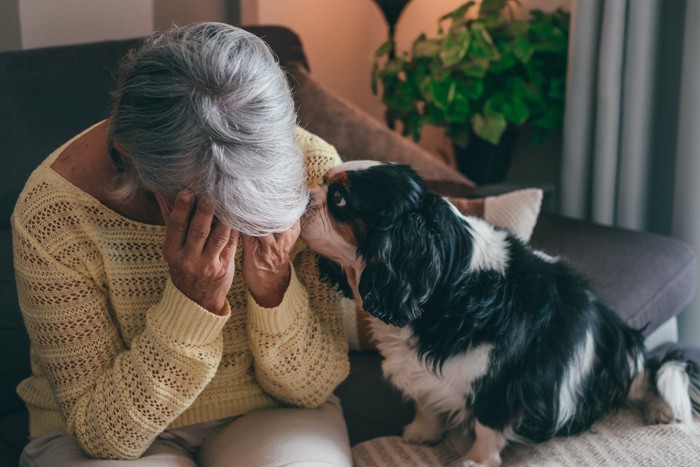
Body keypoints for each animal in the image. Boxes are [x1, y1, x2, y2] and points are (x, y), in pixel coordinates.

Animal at [300, 162, 700, 467]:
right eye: (323, 185)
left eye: (339, 199)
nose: (303, 197)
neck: (446, 282)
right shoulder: (420, 370)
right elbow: (426, 399)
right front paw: (423, 433)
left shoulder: (503, 376)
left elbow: (488, 423)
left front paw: (476, 460)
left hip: (613, 352)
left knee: (645, 376)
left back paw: (661, 409)